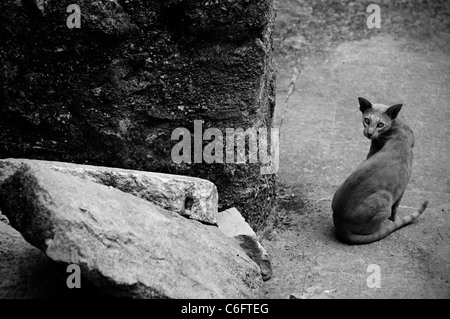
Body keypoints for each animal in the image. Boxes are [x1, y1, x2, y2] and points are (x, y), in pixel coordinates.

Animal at [332, 97, 428, 245]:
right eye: (367, 120)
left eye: (380, 124)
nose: (369, 133)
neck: (396, 127)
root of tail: (339, 222)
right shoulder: (403, 187)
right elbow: (396, 209)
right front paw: (394, 220)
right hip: (385, 199)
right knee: (372, 228)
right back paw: (385, 225)